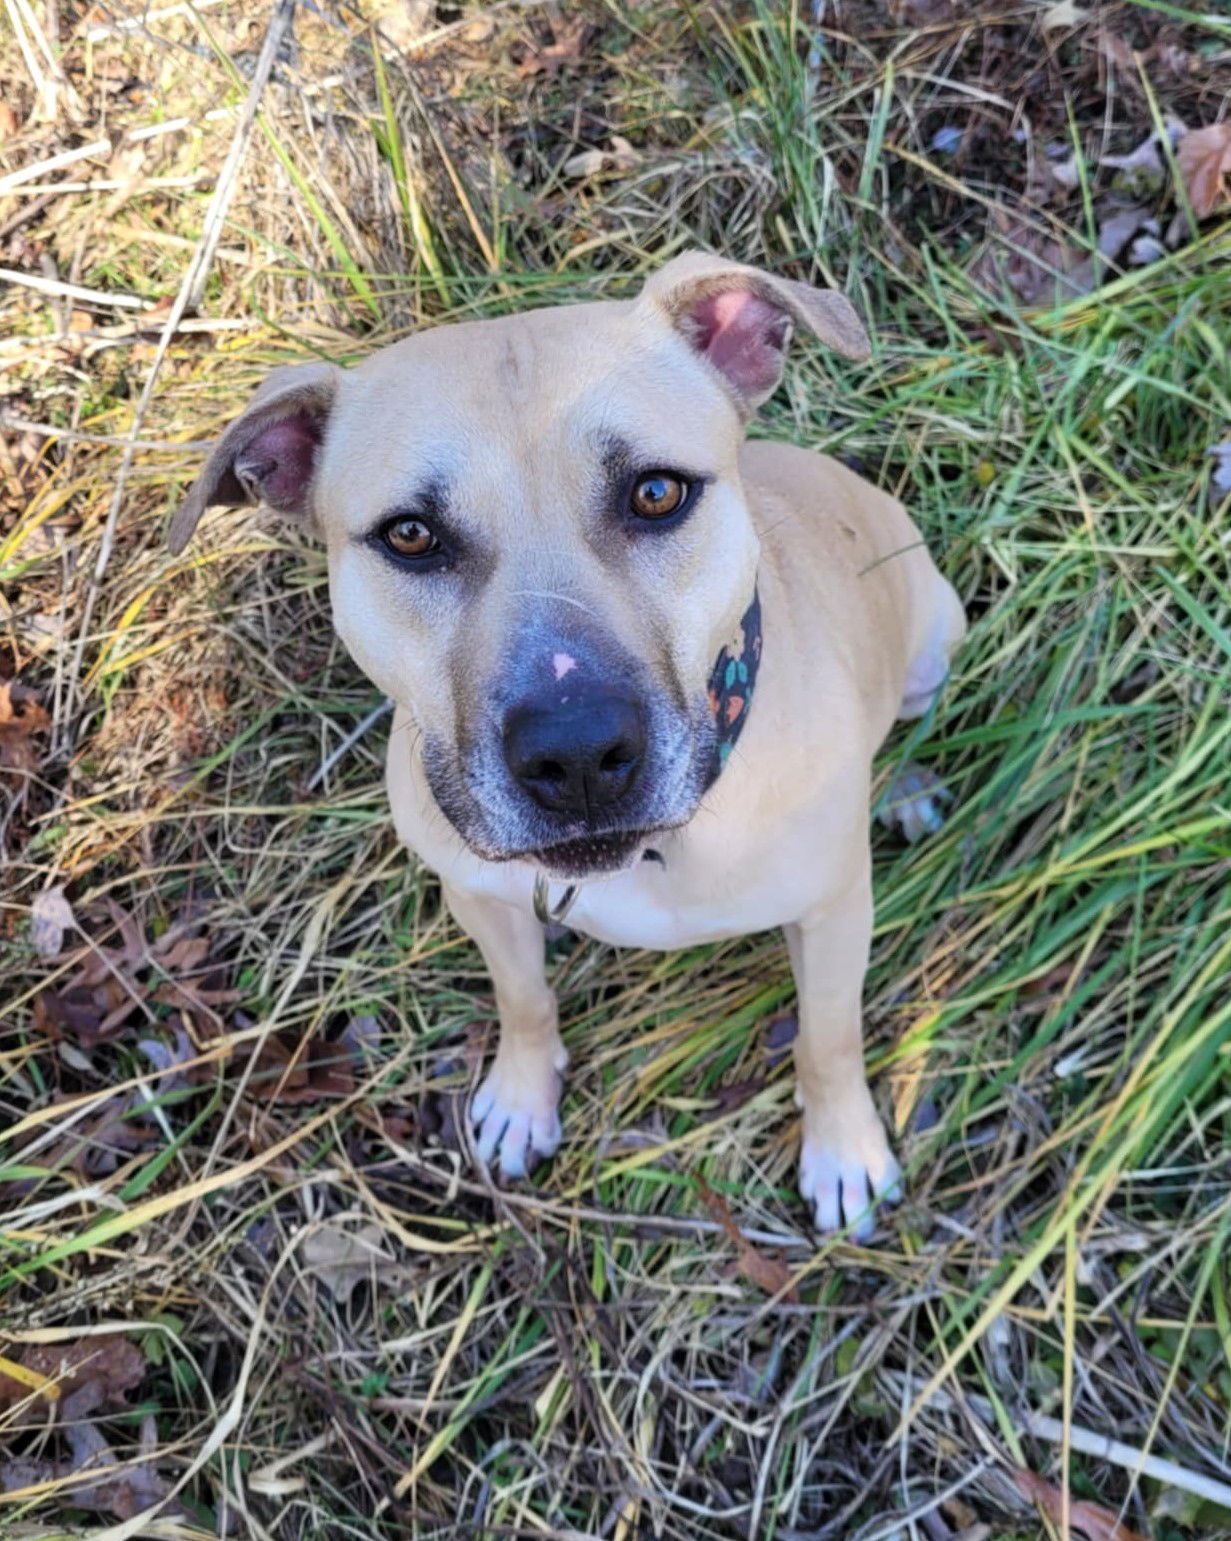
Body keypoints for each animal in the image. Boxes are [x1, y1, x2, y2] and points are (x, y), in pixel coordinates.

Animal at [168, 252, 967, 1238]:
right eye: (409, 535)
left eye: (656, 492)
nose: (577, 757)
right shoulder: (481, 895)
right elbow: (522, 997)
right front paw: (521, 1095)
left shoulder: (831, 915)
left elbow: (828, 1035)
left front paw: (844, 1149)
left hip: (934, 636)